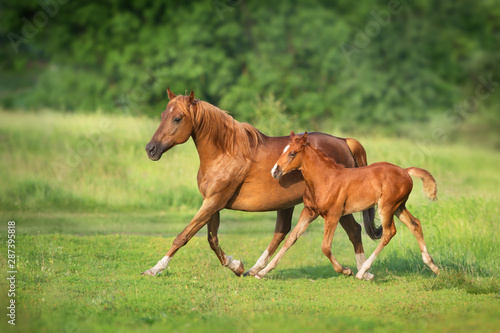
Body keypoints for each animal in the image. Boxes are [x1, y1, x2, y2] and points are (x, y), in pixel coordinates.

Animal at [256, 131, 440, 278]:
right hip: (398, 207)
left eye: (293, 154)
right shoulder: (309, 212)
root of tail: (405, 171)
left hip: (386, 207)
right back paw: (433, 266)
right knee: (415, 224)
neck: (325, 178)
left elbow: (325, 247)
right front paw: (262, 272)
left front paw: (346, 270)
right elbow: (291, 239)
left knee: (389, 233)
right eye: (283, 151)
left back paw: (362, 272)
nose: (275, 171)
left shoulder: (333, 215)